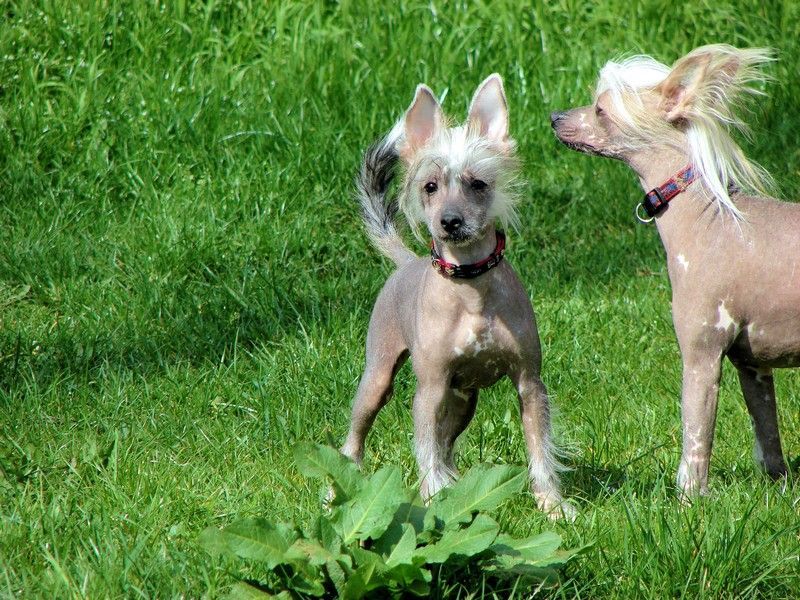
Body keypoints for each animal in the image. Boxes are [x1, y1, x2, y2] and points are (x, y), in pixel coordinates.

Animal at [340, 74, 572, 518]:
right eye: (430, 187)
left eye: (478, 184)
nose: (450, 221)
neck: (471, 289)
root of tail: (406, 263)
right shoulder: (428, 391)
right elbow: (426, 452)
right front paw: (432, 502)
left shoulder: (530, 384)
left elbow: (540, 451)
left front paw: (553, 506)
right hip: (378, 381)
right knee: (354, 443)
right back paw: (335, 493)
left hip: (463, 400)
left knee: (448, 448)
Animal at [551, 44, 800, 497]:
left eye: (600, 109)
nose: (554, 117)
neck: (708, 217)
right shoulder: (754, 366)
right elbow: (768, 434)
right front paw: (781, 488)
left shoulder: (701, 354)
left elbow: (695, 437)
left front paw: (690, 500)